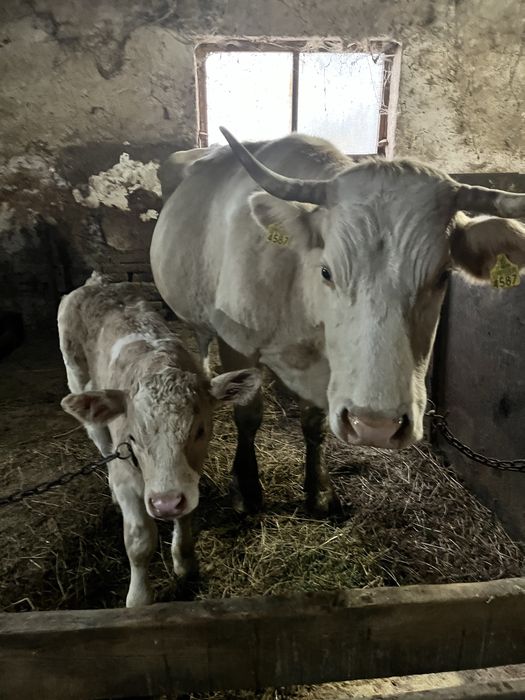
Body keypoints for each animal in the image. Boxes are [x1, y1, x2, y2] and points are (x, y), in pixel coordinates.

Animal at [58, 273, 260, 606]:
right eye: (132, 436)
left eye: (200, 430)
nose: (165, 504)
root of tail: (95, 283)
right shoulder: (127, 474)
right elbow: (140, 539)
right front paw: (139, 598)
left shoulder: (188, 477)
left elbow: (187, 515)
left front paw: (185, 561)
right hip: (79, 383)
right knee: (101, 444)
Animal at [150, 128, 525, 518]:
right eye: (326, 271)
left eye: (442, 276)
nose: (377, 427)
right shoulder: (237, 340)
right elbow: (249, 414)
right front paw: (246, 490)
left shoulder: (327, 369)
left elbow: (314, 423)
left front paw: (320, 491)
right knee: (201, 336)